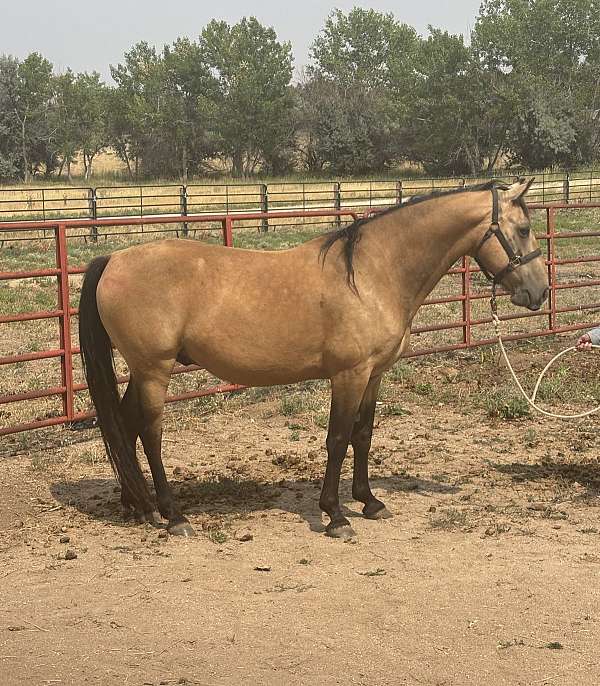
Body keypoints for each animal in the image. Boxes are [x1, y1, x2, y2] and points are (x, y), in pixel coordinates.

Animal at [78, 180, 548, 540]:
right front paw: (336, 516)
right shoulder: (348, 375)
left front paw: (369, 501)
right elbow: (337, 439)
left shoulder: (374, 374)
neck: (372, 273)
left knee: (125, 426)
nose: (539, 293)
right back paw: (174, 515)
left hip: (141, 371)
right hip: (154, 370)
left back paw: (138, 506)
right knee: (150, 434)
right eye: (524, 229)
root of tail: (114, 258)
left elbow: (363, 434)